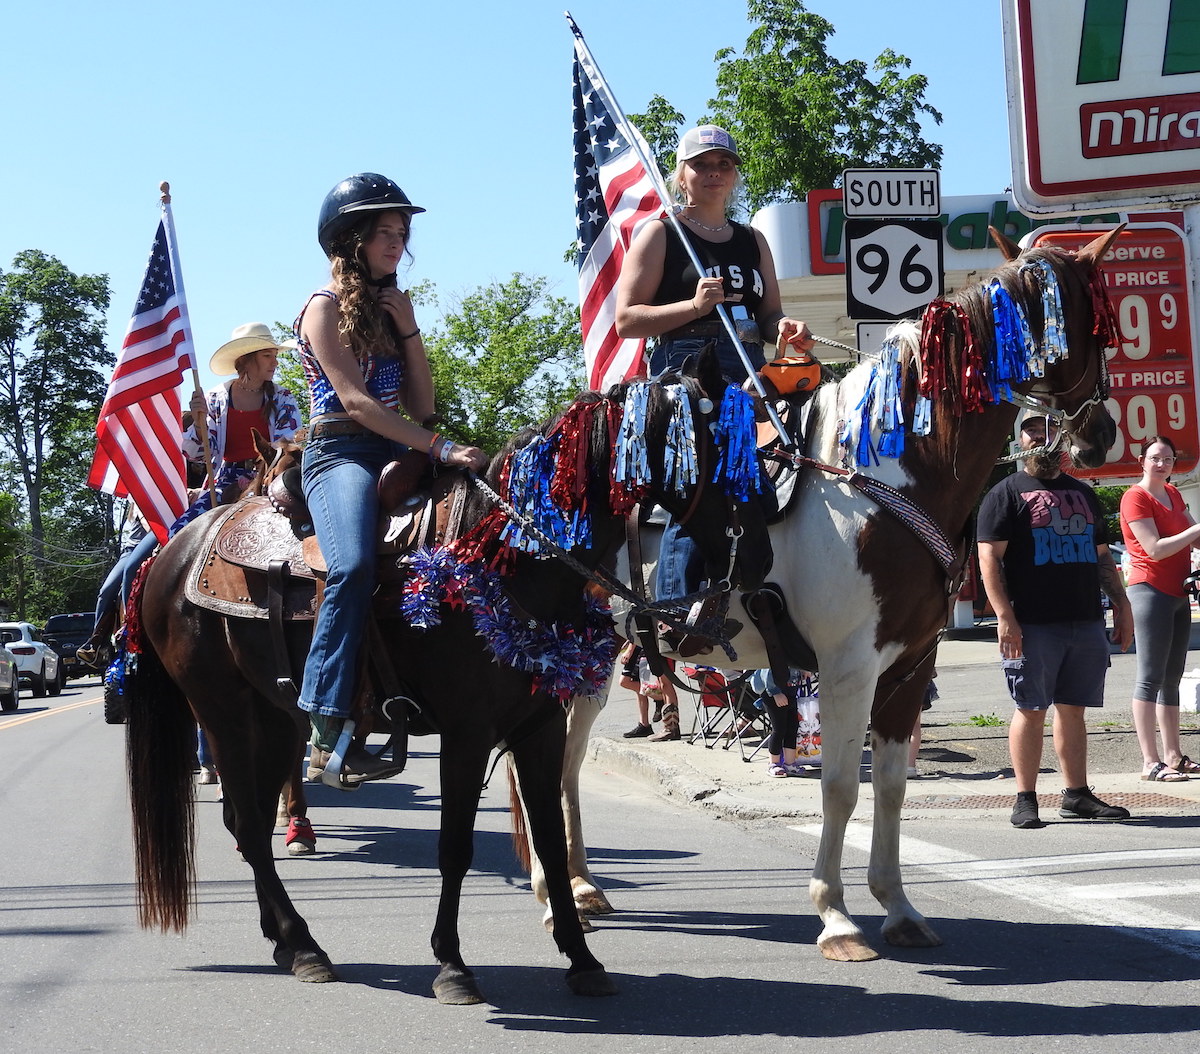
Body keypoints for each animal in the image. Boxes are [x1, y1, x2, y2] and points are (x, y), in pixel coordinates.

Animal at [126, 350, 772, 1003]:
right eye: (727, 446)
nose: (762, 559)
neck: (506, 559)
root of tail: (176, 548)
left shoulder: (539, 727)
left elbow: (547, 834)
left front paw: (581, 957)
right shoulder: (468, 732)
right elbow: (455, 846)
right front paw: (453, 964)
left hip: (277, 715)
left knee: (251, 817)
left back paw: (286, 939)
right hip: (223, 711)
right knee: (249, 826)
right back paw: (306, 946)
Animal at [525, 226, 1123, 960]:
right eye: (1093, 327)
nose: (1101, 436)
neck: (885, 476)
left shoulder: (907, 664)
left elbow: (890, 787)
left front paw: (899, 908)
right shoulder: (848, 667)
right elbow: (840, 788)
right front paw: (836, 917)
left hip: (597, 656)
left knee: (566, 761)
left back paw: (579, 889)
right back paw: (554, 894)